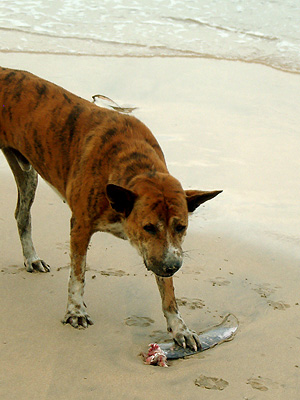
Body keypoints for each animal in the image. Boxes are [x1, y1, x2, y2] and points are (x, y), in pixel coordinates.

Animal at [0, 66, 220, 350]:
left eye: (181, 227)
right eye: (148, 227)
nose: (173, 266)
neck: (135, 163)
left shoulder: (161, 253)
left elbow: (168, 292)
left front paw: (179, 328)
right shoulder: (81, 227)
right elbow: (77, 275)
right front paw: (76, 311)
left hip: (28, 173)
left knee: (22, 215)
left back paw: (31, 258)